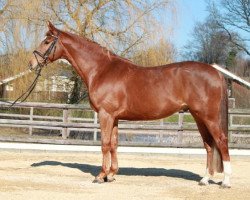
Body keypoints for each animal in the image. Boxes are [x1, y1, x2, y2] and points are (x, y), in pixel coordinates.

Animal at [28, 21, 231, 188]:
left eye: (47, 41)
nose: (31, 63)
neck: (101, 70)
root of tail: (216, 73)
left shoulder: (105, 115)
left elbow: (104, 144)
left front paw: (100, 176)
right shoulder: (115, 118)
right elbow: (114, 144)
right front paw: (111, 175)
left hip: (209, 117)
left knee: (221, 142)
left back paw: (225, 182)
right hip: (199, 117)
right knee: (209, 145)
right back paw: (204, 179)